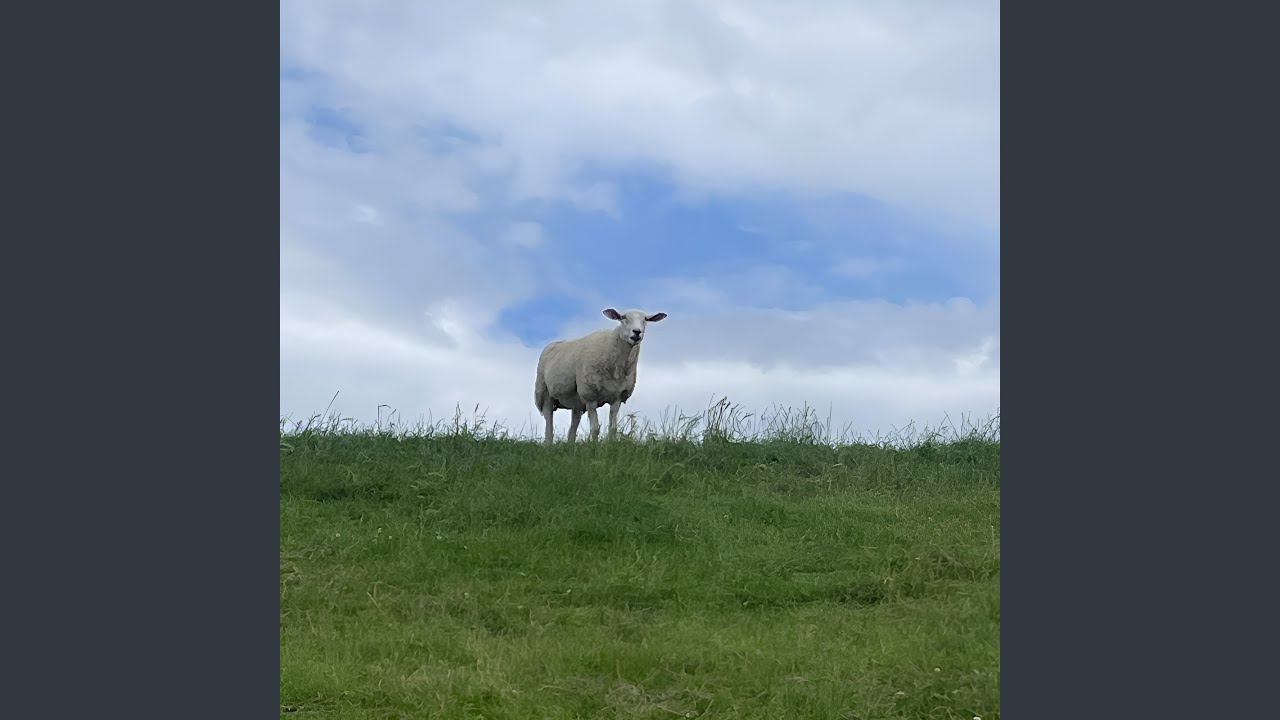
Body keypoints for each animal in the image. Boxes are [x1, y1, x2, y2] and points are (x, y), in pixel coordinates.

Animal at [533, 307, 668, 445]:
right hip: (544, 392)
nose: (637, 332)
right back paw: (548, 443)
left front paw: (611, 444)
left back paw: (571, 444)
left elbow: (613, 427)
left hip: (577, 399)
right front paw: (594, 446)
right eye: (623, 318)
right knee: (548, 421)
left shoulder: (617, 397)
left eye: (645, 319)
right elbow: (595, 428)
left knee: (573, 425)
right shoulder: (590, 397)